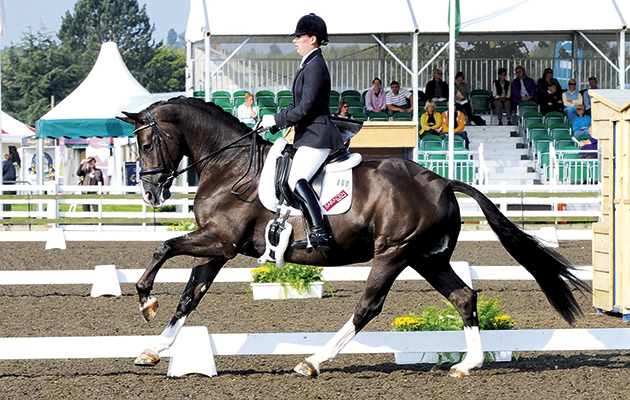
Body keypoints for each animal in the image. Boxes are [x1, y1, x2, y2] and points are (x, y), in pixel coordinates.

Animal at [118, 97, 588, 378]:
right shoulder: (216, 247)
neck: (230, 166)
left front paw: (145, 300)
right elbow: (189, 296)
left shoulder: (221, 241)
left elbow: (163, 247)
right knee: (464, 296)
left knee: (368, 307)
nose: (150, 193)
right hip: (427, 258)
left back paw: (313, 361)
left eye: (146, 144)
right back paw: (466, 364)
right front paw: (153, 349)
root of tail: (441, 180)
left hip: (394, 253)